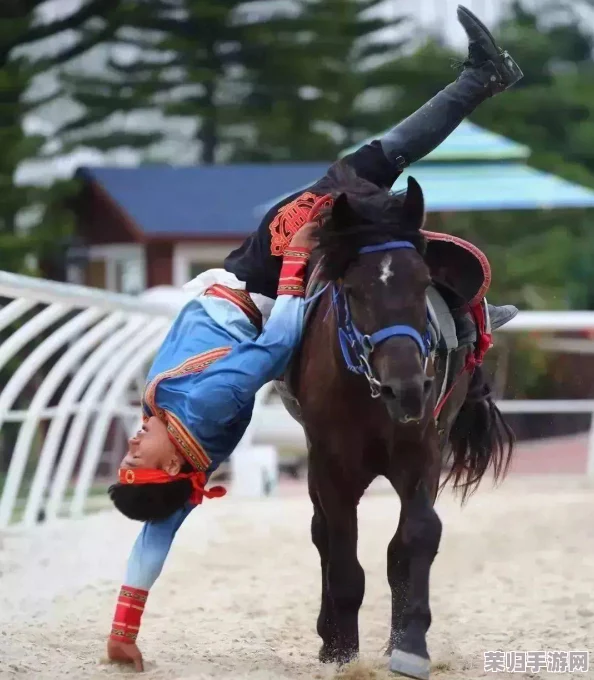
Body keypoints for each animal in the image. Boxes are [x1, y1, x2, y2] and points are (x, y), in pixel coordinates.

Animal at [288, 167, 514, 679]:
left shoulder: (423, 452)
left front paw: (410, 644)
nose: (406, 387)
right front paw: (342, 651)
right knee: (321, 535)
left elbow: (416, 538)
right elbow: (342, 553)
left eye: (422, 283)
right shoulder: (331, 465)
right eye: (353, 290)